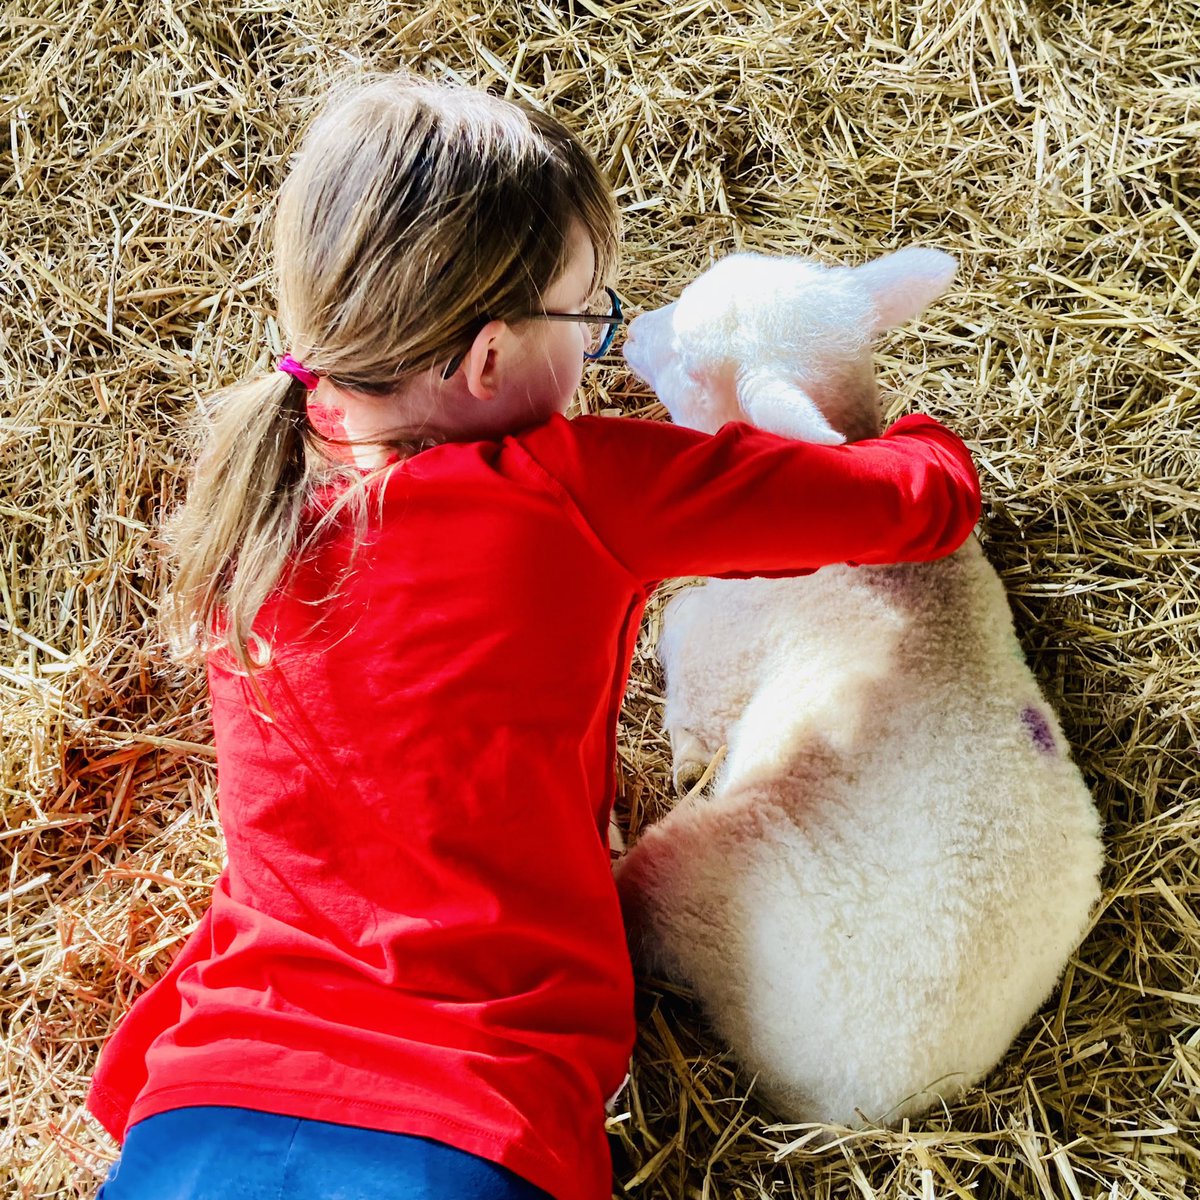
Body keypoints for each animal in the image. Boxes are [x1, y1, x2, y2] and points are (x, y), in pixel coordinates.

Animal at [619, 248, 1104, 1128]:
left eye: (695, 365)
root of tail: (868, 1100)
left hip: (705, 864)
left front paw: (685, 751)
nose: (634, 327)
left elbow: (682, 652)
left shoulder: (721, 638)